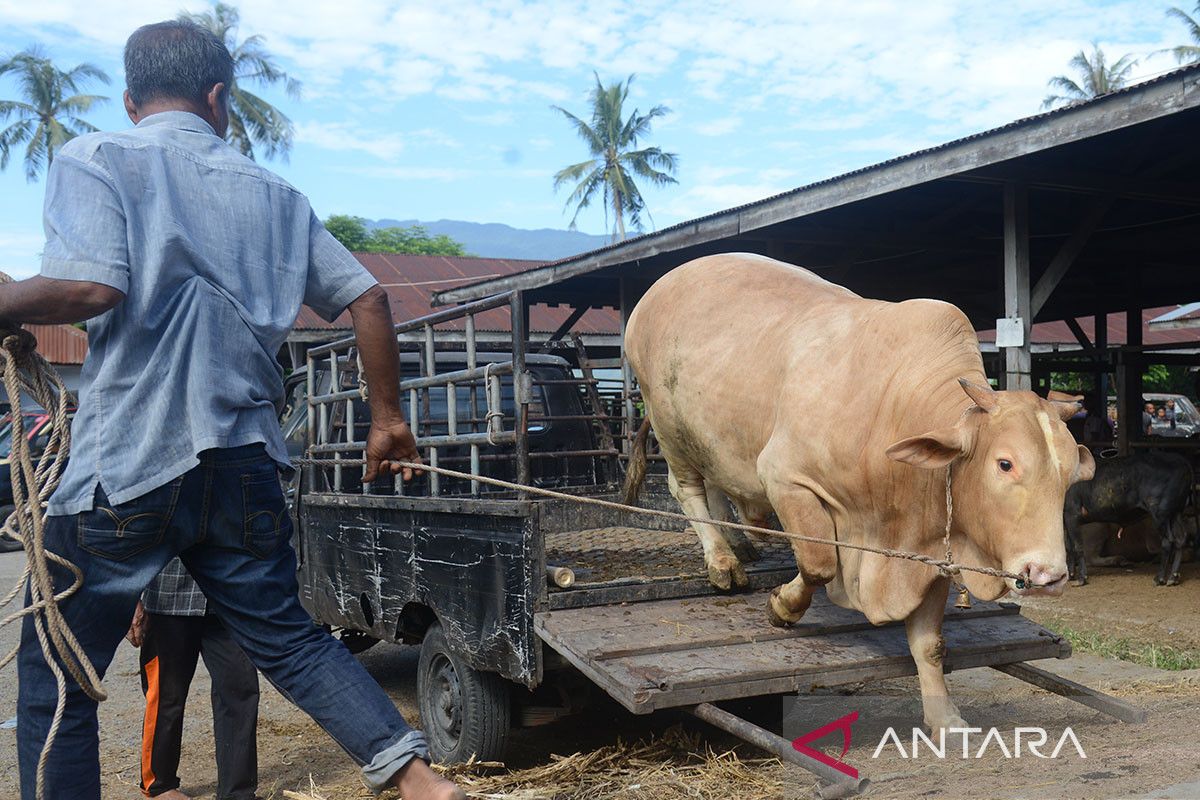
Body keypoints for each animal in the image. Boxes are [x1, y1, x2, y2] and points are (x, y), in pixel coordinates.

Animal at [624, 253, 1094, 729]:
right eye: (1004, 463)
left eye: (1071, 474)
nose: (1048, 575)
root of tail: (660, 286)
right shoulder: (784, 477)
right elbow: (818, 564)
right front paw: (783, 608)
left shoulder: (930, 542)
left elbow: (929, 644)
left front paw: (944, 718)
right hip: (668, 426)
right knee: (688, 490)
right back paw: (721, 560)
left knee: (718, 488)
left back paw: (739, 546)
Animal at [1070, 453, 1190, 585]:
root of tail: (1181, 461)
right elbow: (1069, 547)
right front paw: (1071, 576)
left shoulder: (1072, 513)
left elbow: (1076, 546)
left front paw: (1081, 579)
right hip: (1175, 513)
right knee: (1180, 538)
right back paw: (1173, 577)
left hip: (1160, 513)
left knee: (1168, 541)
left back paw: (1159, 578)